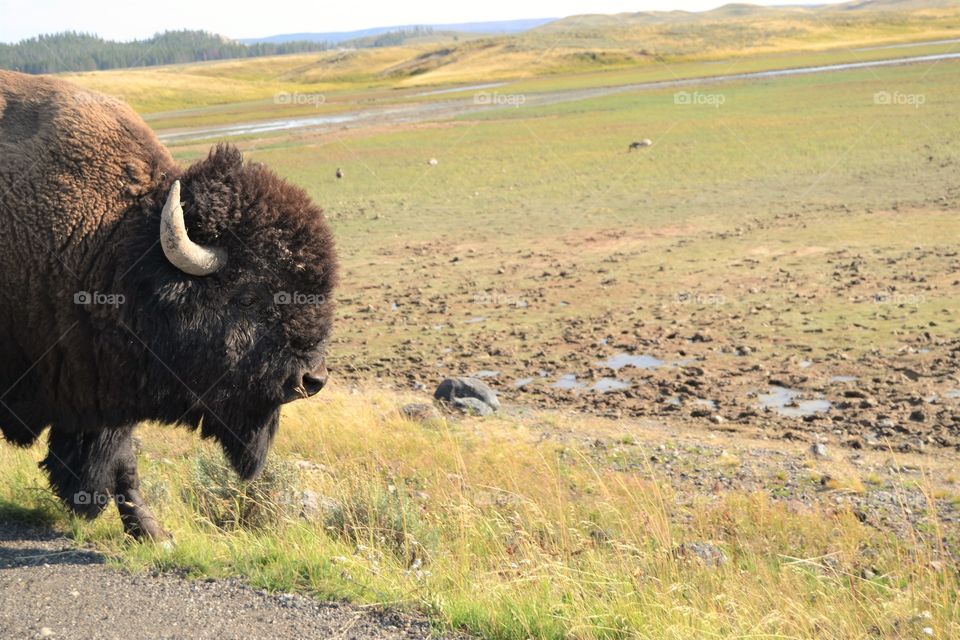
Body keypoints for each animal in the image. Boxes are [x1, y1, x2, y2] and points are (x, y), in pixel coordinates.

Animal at [0, 70, 338, 540]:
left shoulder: (103, 387)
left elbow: (122, 460)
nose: (312, 379)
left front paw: (152, 533)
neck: (113, 245)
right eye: (250, 295)